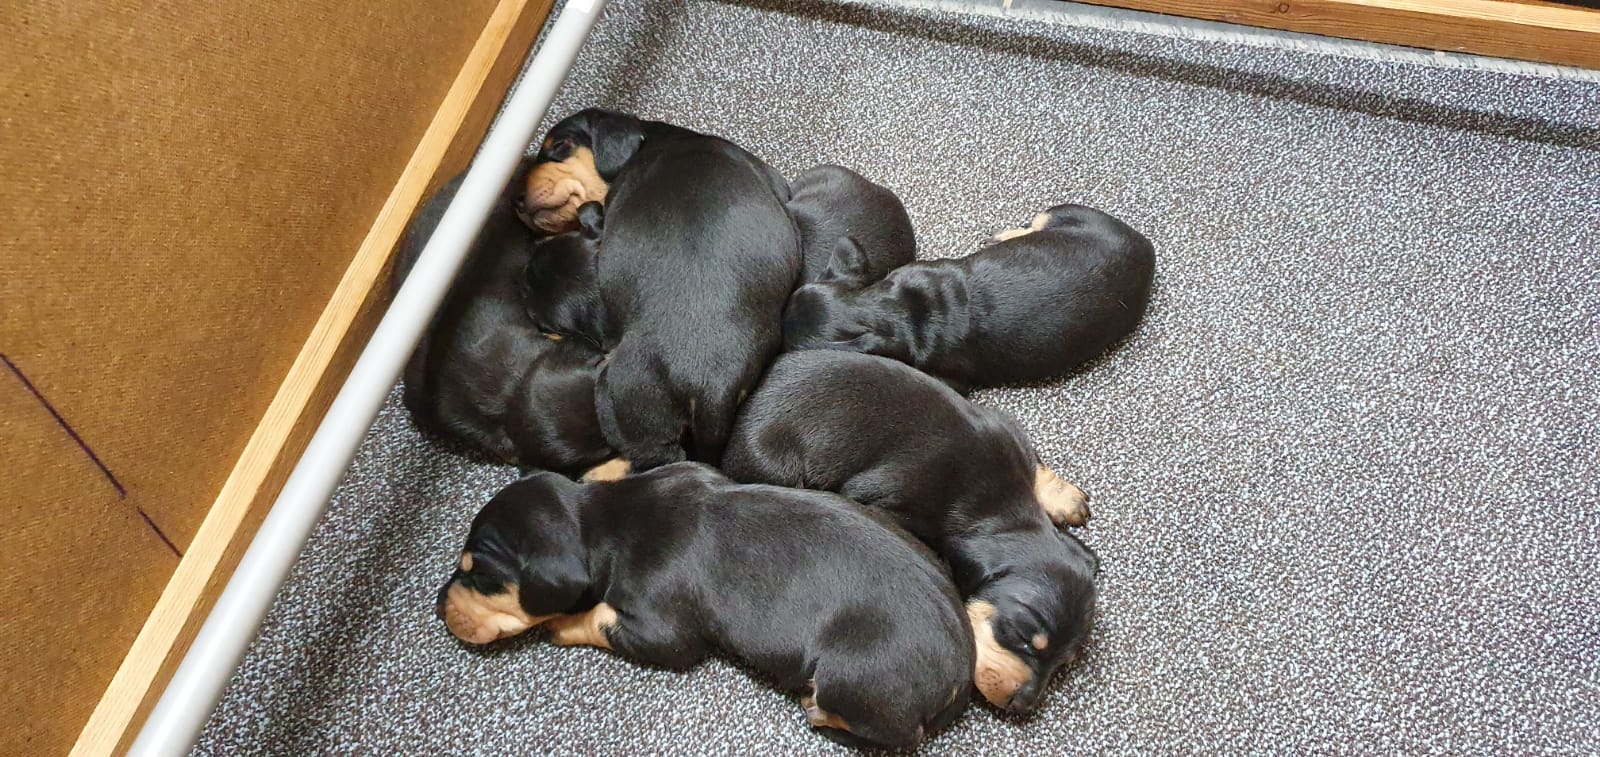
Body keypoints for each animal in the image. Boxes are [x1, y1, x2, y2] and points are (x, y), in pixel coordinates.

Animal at [436, 463, 973, 749]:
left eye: (479, 574)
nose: (439, 604)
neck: (602, 518)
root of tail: (960, 679)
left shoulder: (663, 633)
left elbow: (601, 615)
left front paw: (562, 623)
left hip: (852, 678)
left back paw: (818, 709)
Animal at [718, 350, 1098, 714]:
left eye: (1065, 663)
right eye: (1021, 636)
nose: (1023, 705)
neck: (1006, 511)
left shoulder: (1007, 433)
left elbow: (1037, 467)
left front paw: (1065, 499)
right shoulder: (885, 499)